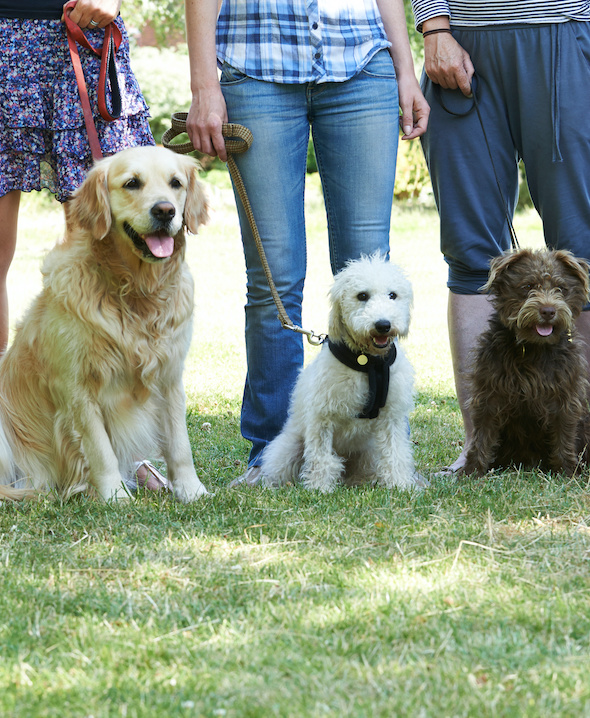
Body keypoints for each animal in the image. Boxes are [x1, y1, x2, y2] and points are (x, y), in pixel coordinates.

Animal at [0, 146, 210, 504]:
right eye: (132, 183)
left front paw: (191, 490)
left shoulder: (170, 377)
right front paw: (115, 496)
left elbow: (180, 445)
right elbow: (100, 449)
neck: (137, 292)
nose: (165, 210)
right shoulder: (76, 386)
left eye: (176, 183)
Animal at [260, 255, 426, 496]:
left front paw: (400, 485)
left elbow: (395, 453)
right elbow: (321, 458)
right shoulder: (322, 417)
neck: (367, 363)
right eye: (362, 296)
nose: (383, 325)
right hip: (288, 448)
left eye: (393, 295)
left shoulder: (392, 417)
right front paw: (320, 488)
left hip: (369, 452)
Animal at [464, 248, 590, 478]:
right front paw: (471, 472)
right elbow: (482, 436)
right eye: (528, 286)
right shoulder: (489, 393)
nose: (548, 311)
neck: (534, 348)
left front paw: (567, 473)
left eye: (561, 289)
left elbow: (564, 435)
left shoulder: (565, 396)